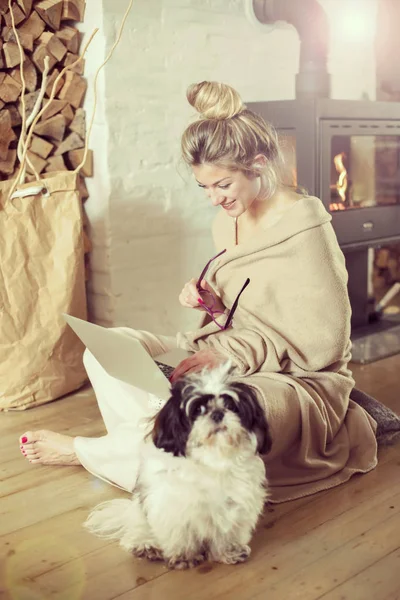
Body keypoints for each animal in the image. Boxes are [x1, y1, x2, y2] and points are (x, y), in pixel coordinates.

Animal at [84, 364, 272, 568]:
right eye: (198, 409)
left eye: (230, 406)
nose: (217, 413)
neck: (213, 458)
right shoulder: (174, 507)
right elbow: (180, 533)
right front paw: (185, 556)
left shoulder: (235, 505)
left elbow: (228, 531)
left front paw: (229, 551)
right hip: (142, 510)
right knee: (139, 528)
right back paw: (146, 545)